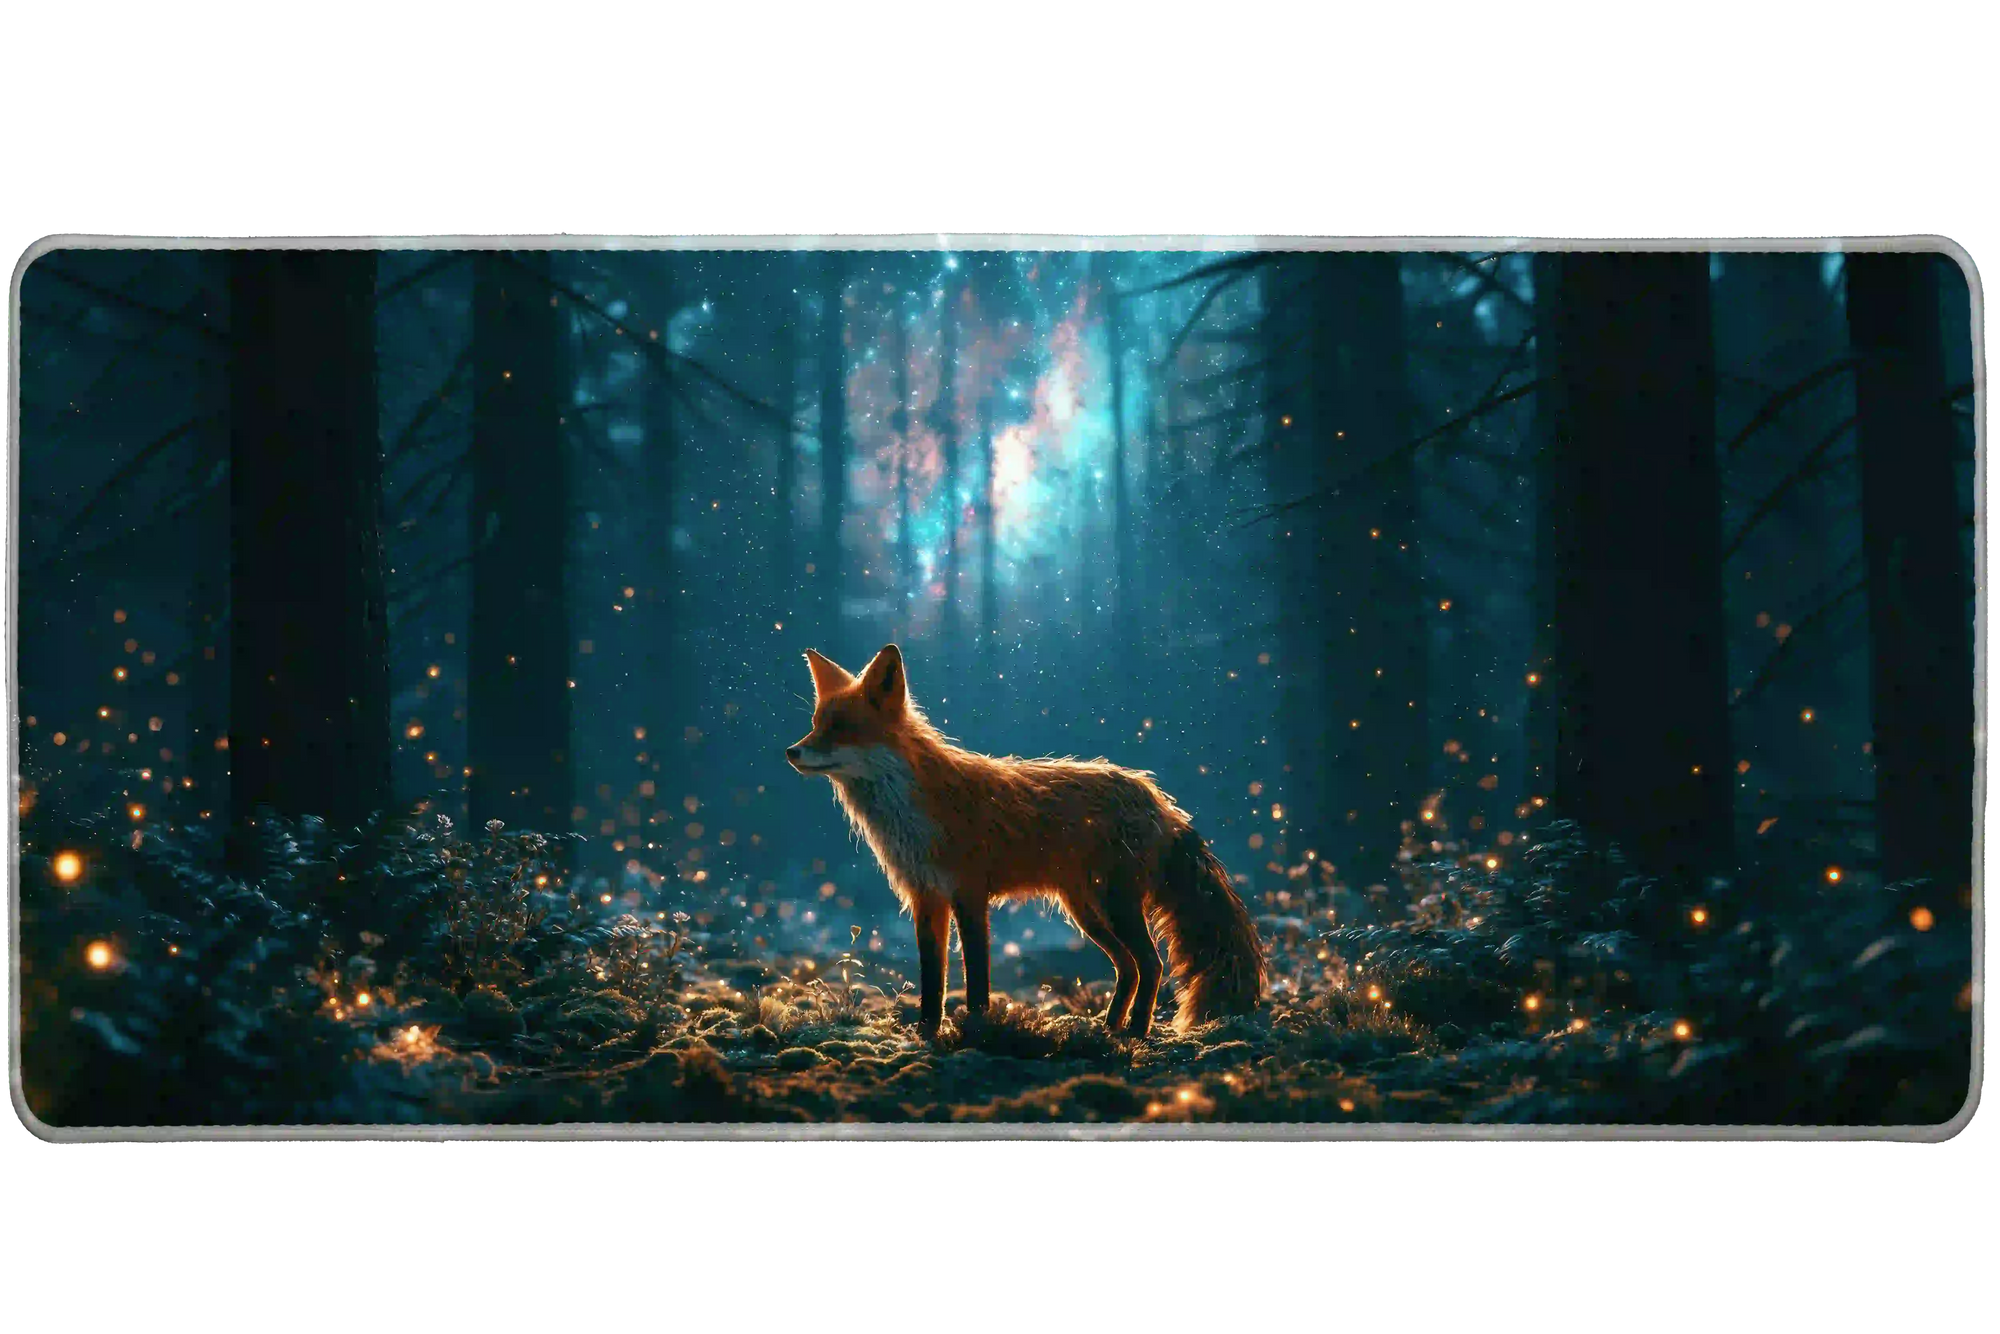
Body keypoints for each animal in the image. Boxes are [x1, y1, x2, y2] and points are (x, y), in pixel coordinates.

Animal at [787, 643, 1266, 1039]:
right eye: (815, 725)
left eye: (841, 728)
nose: (792, 752)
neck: (913, 811)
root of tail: (1161, 802)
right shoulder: (926, 898)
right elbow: (932, 981)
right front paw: (925, 1033)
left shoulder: (969, 893)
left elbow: (977, 978)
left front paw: (978, 1029)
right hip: (1087, 912)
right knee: (1128, 968)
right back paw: (1109, 1026)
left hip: (1117, 904)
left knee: (1152, 964)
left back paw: (1135, 1031)